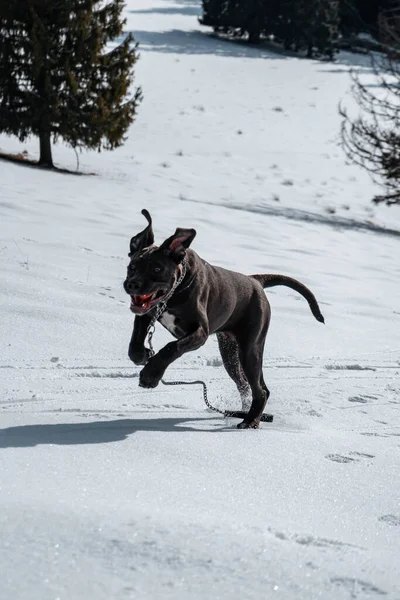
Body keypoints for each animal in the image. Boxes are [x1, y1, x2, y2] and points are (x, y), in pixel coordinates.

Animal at [123, 209, 324, 428]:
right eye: (132, 266)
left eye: (157, 269)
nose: (132, 284)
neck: (175, 291)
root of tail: (255, 281)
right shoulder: (147, 315)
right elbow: (134, 343)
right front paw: (142, 355)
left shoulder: (199, 332)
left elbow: (171, 347)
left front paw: (151, 375)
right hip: (231, 353)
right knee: (248, 386)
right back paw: (245, 413)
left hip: (250, 349)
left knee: (260, 390)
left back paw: (250, 421)